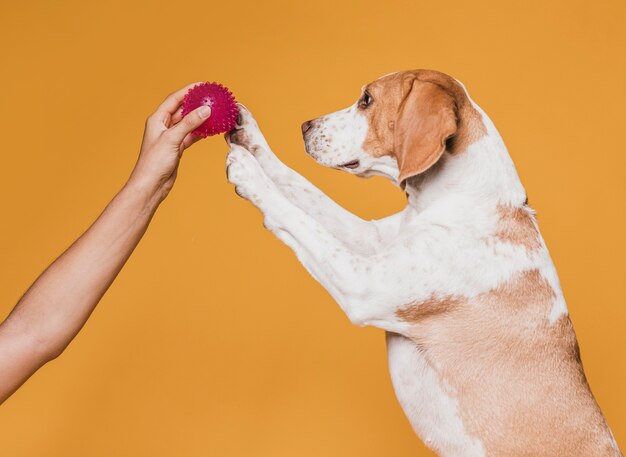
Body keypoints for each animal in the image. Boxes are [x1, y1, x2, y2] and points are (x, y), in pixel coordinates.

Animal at [223, 69, 620, 454]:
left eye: (366, 99)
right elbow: (302, 188)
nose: (305, 126)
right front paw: (248, 135)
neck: (460, 198)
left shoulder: (362, 284)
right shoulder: (371, 239)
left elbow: (297, 217)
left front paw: (249, 173)